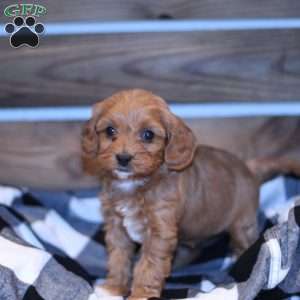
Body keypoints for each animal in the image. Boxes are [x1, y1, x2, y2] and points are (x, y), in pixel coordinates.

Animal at [81, 89, 298, 300]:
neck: (135, 183)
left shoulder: (159, 233)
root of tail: (248, 168)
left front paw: (140, 294)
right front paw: (113, 288)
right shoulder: (116, 226)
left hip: (242, 226)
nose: (123, 158)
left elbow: (149, 267)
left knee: (245, 245)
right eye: (110, 131)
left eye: (148, 135)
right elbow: (119, 258)